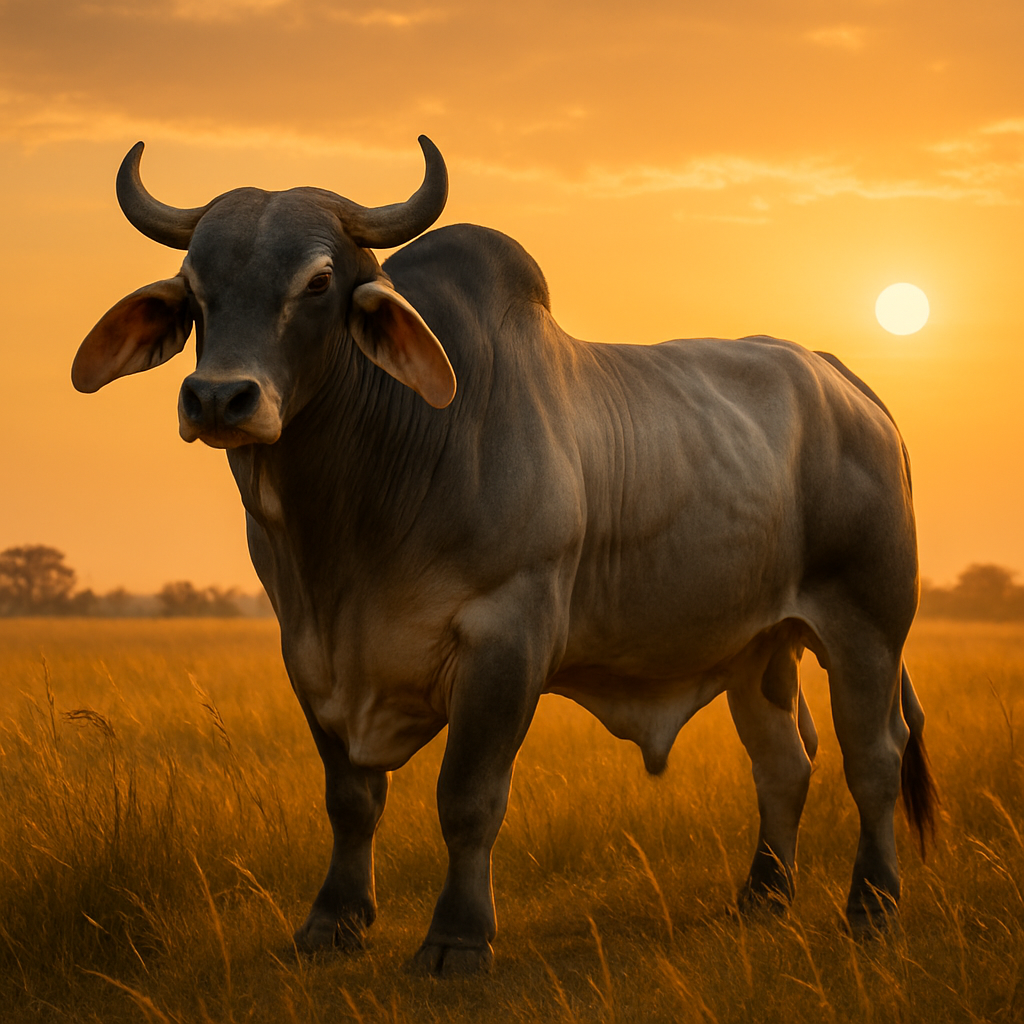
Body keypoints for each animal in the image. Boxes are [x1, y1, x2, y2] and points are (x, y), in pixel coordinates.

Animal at [74, 136, 936, 976]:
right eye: (194, 288)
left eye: (317, 281)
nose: (220, 399)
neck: (356, 518)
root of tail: (847, 384)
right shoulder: (311, 654)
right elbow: (351, 798)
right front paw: (333, 922)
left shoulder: (506, 640)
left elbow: (468, 797)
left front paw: (458, 938)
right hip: (757, 649)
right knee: (784, 762)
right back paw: (762, 896)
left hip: (866, 629)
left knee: (873, 758)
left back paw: (873, 905)